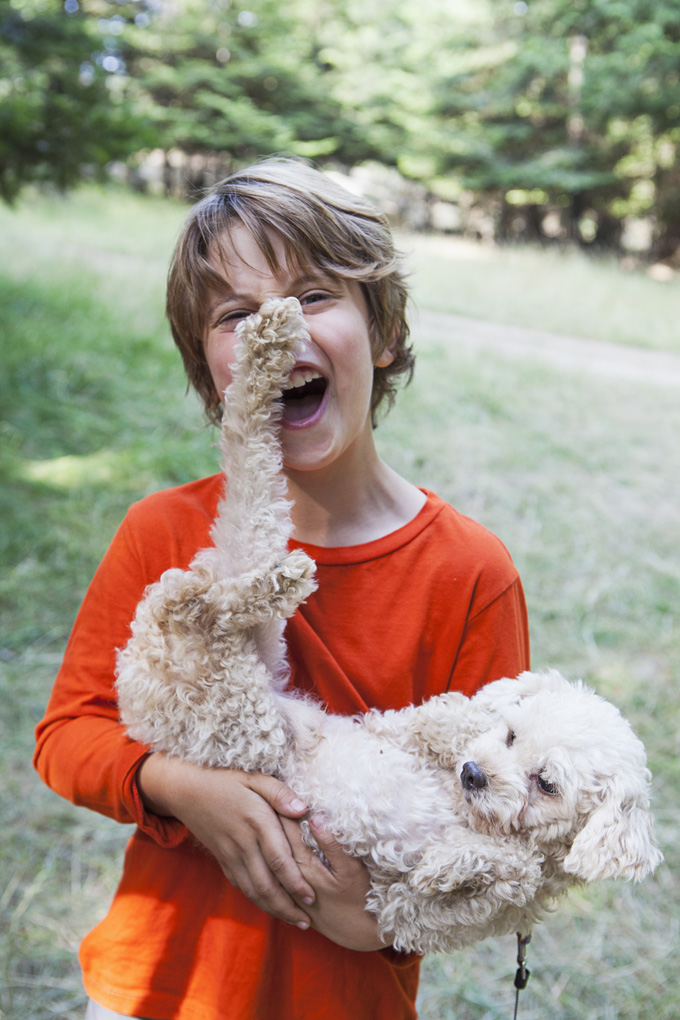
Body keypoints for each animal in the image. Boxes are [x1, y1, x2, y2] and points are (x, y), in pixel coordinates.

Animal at [117, 295, 664, 954]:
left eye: (547, 784)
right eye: (510, 736)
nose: (474, 774)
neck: (472, 812)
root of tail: (140, 684)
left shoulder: (407, 912)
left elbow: (500, 873)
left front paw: (459, 865)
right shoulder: (408, 726)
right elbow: (437, 719)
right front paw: (461, 732)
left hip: (227, 698)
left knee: (225, 524)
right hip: (229, 698)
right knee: (202, 575)